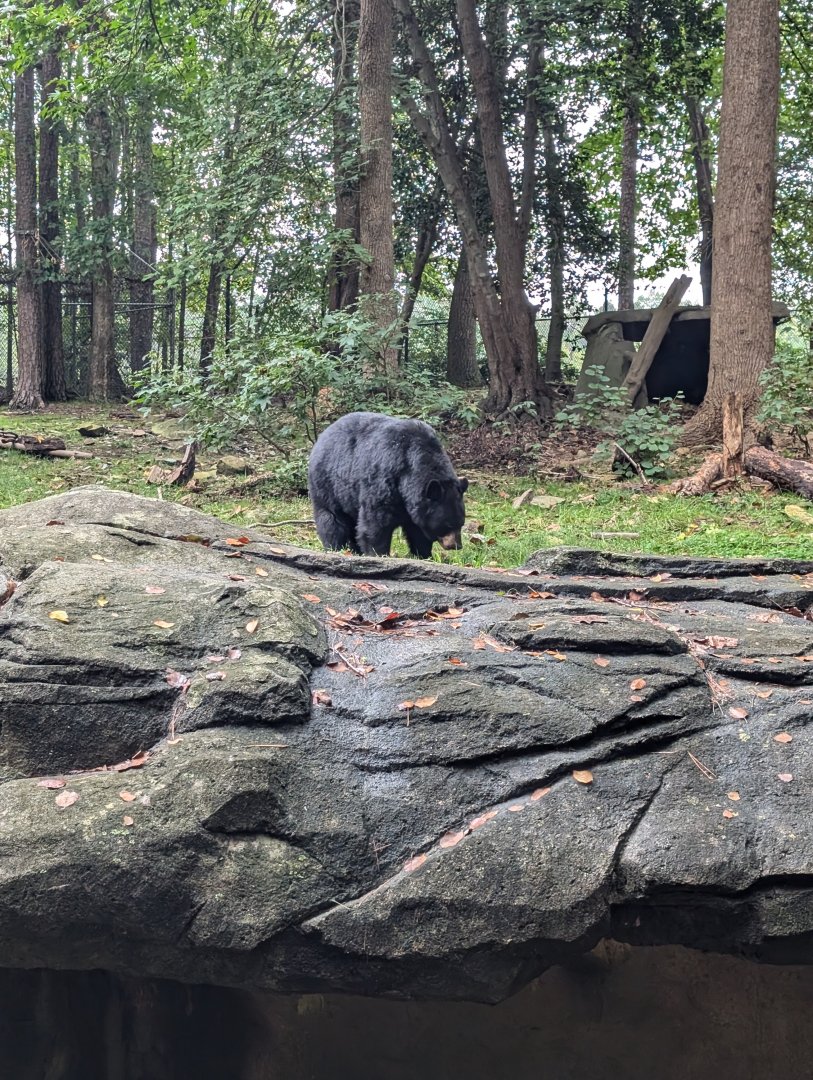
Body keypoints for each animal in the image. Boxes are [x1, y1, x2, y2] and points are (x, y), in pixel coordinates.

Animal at [308, 411, 468, 558]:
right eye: (448, 524)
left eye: (461, 523)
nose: (456, 545)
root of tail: (323, 436)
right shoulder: (385, 479)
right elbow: (376, 521)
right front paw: (378, 553)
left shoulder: (414, 503)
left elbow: (417, 529)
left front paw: (423, 554)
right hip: (327, 482)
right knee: (331, 518)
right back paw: (336, 547)